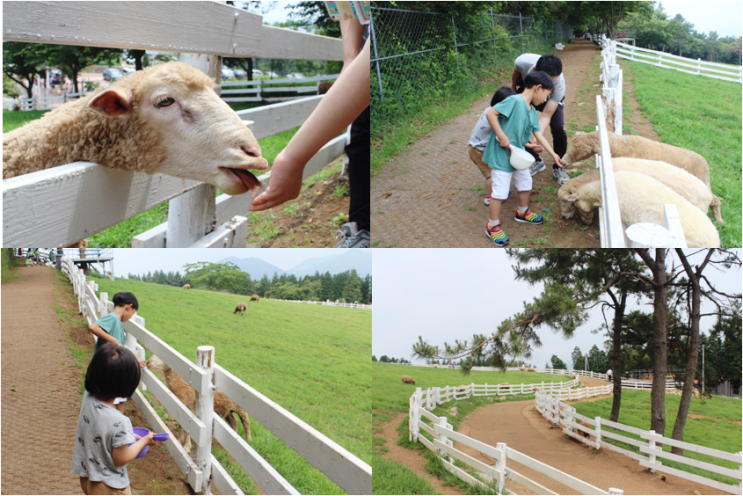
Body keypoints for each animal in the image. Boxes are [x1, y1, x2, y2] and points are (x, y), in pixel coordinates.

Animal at [564, 131, 720, 218]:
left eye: (583, 152)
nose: (564, 162)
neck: (623, 145)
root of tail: (705, 162)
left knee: (715, 199)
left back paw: (718, 219)